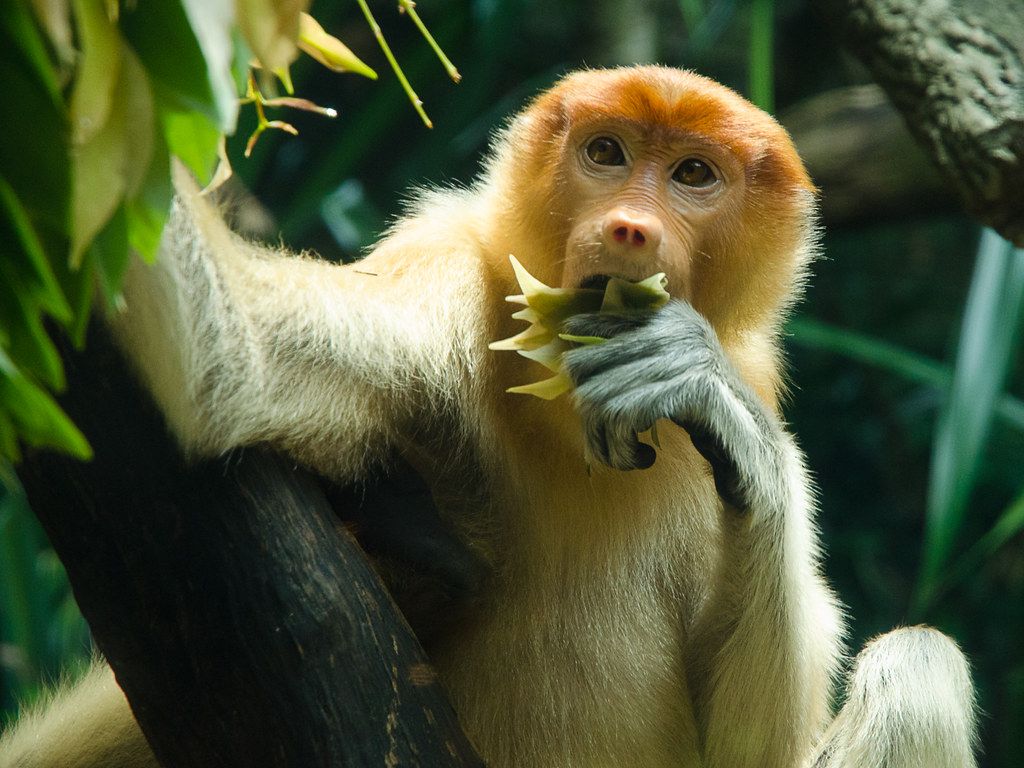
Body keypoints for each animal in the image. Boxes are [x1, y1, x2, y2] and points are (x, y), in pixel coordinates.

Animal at [0, 66, 978, 768]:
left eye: (694, 173)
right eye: (607, 152)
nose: (628, 228)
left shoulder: (755, 370)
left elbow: (752, 749)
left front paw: (697, 389)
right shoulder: (445, 271)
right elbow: (232, 369)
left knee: (920, 664)